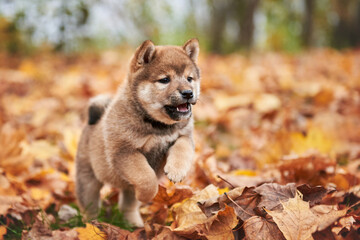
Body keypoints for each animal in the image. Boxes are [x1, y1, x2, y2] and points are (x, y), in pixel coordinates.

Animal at [75, 38, 200, 226]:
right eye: (164, 80)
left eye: (189, 78)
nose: (188, 93)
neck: (158, 126)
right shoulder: (125, 152)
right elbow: (147, 178)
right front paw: (147, 196)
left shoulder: (184, 136)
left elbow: (182, 148)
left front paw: (177, 170)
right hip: (88, 180)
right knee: (90, 206)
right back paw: (91, 223)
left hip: (126, 188)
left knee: (127, 206)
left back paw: (133, 224)